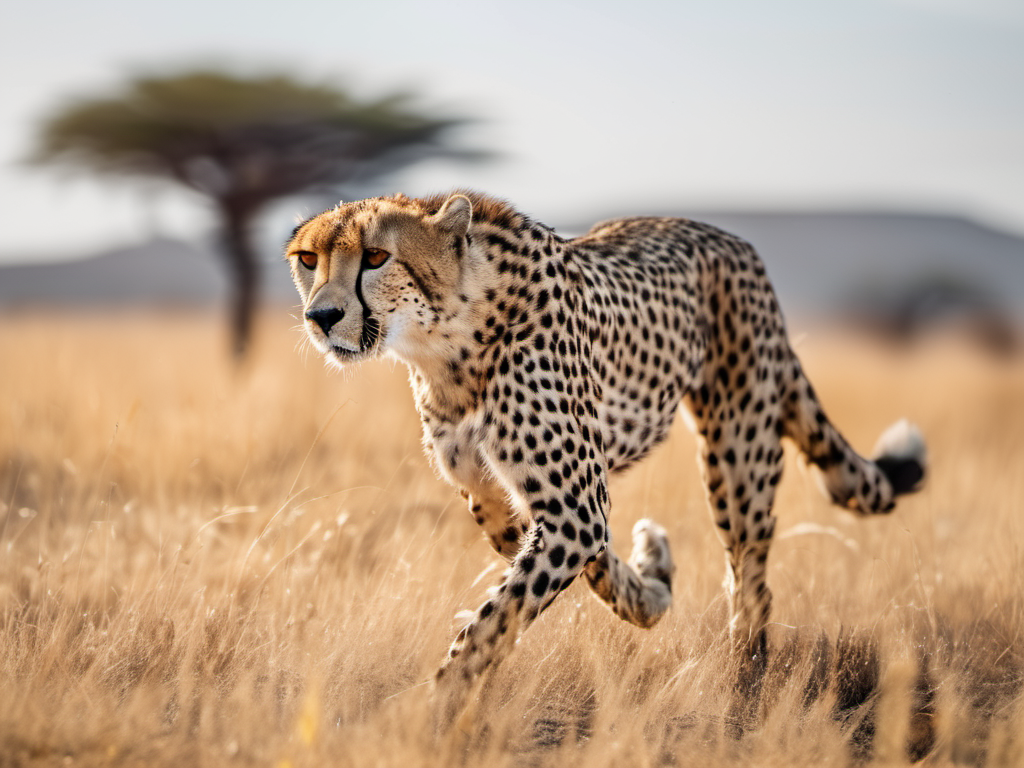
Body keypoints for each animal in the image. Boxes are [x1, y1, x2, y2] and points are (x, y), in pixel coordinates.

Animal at [284, 191, 925, 720]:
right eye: (308, 259)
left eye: (375, 257)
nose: (322, 317)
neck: (447, 342)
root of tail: (731, 239)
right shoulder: (501, 500)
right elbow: (582, 570)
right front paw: (651, 588)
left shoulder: (574, 508)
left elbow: (495, 620)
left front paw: (429, 709)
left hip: (738, 452)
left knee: (751, 575)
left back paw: (744, 680)